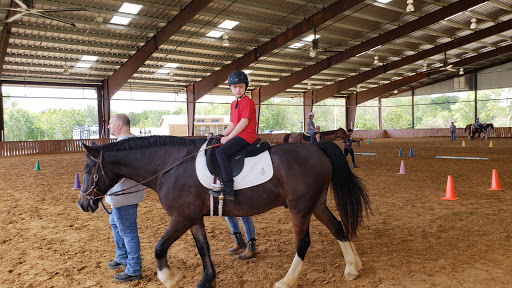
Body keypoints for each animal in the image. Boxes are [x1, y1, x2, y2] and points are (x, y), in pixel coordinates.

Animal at [78, 136, 370, 288]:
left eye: (89, 170)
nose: (83, 204)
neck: (169, 166)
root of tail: (315, 146)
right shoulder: (193, 218)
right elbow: (203, 248)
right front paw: (207, 280)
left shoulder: (181, 217)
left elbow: (159, 248)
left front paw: (169, 278)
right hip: (316, 204)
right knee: (338, 228)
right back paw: (352, 268)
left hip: (299, 208)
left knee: (303, 242)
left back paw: (287, 281)